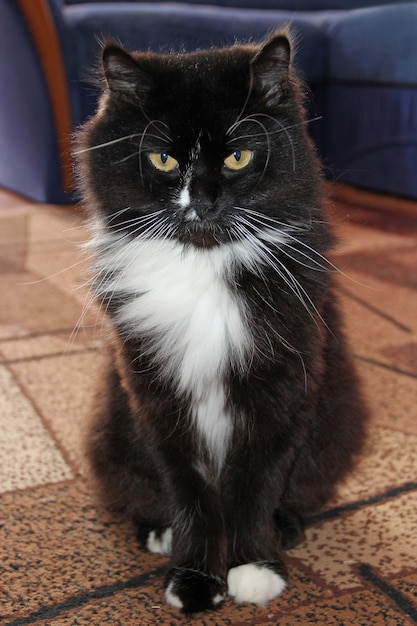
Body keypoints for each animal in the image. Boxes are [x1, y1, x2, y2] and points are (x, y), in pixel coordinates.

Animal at [76, 29, 366, 608]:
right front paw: (193, 577)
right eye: (164, 160)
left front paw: (253, 566)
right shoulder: (154, 396)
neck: (205, 267)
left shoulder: (282, 389)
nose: (203, 202)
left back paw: (285, 527)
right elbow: (191, 494)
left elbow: (255, 485)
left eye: (238, 156)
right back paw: (159, 531)